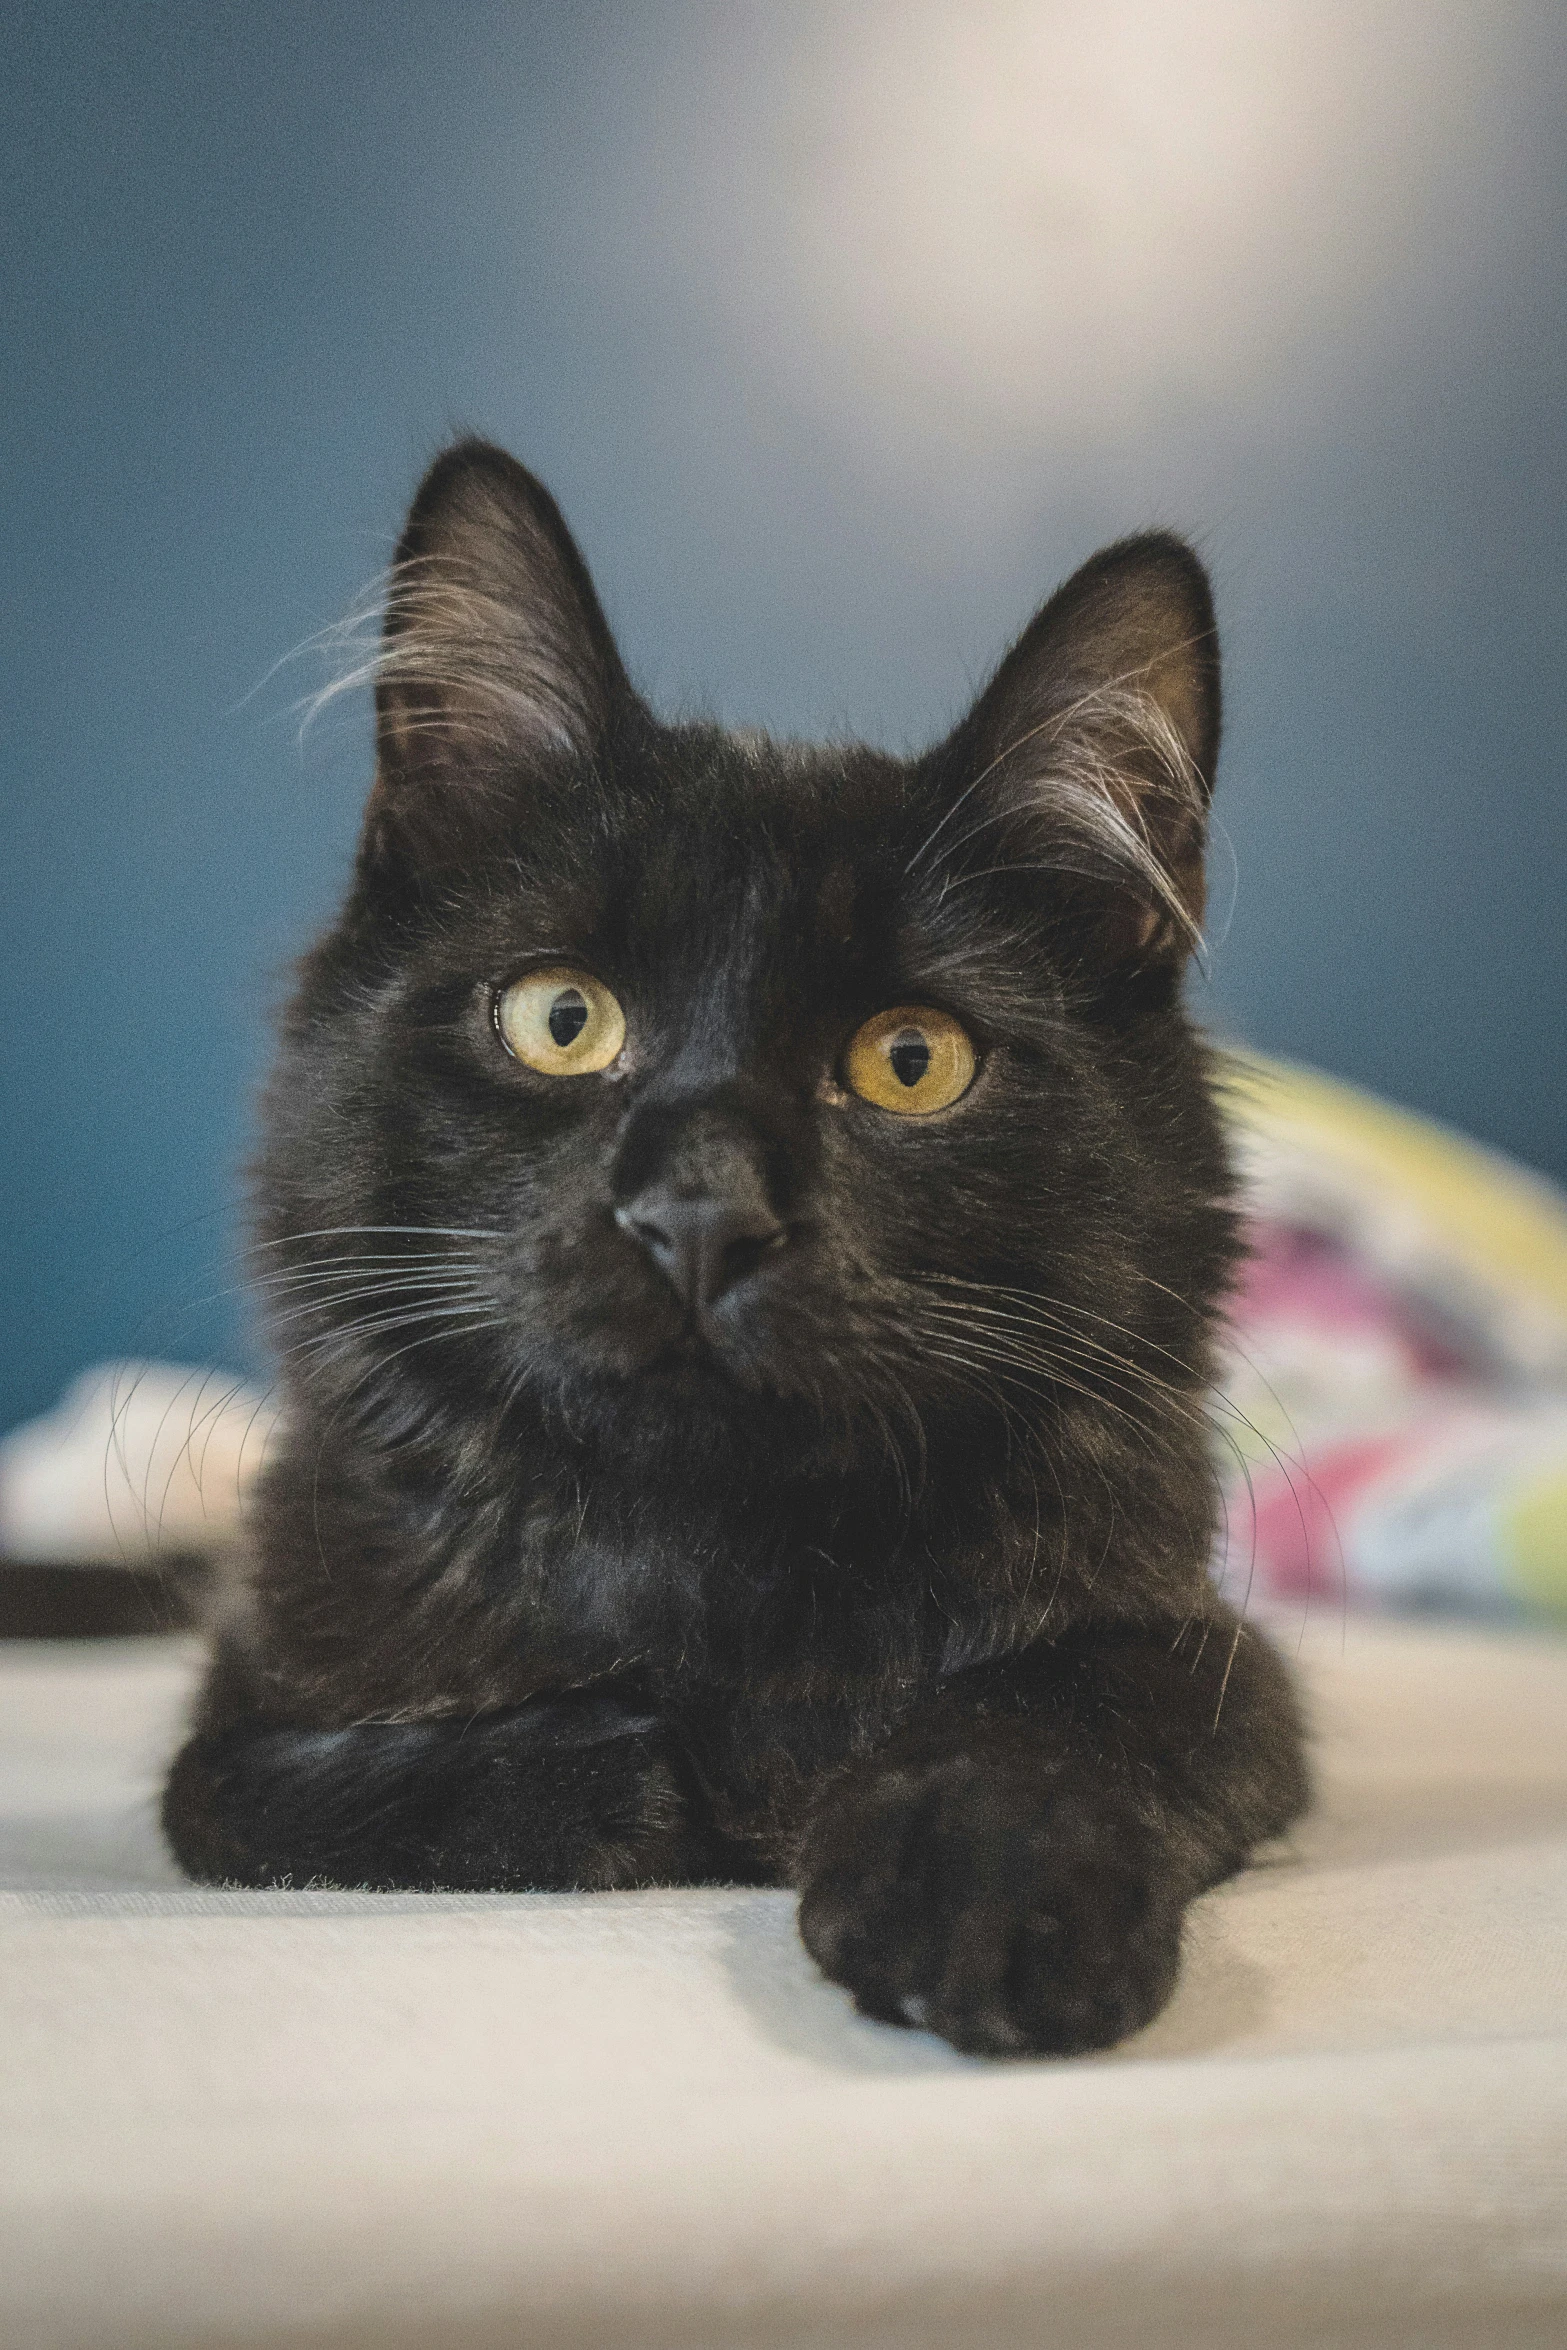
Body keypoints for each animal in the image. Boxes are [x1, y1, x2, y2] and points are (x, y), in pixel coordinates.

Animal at [165, 441, 1306, 2058]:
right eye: (560, 1019)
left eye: (910, 1060)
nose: (698, 1211)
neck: (717, 1563)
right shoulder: (246, 1689)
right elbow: (274, 1784)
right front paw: (630, 1770)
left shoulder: (1208, 1649)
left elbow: (1059, 1705)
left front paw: (985, 1876)